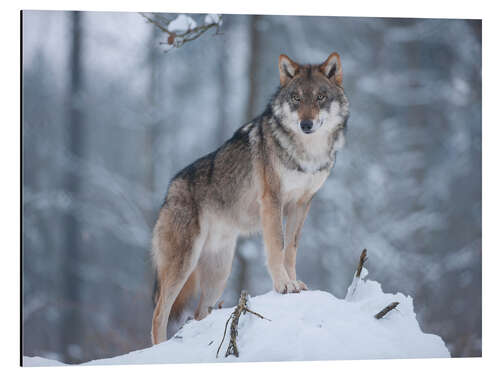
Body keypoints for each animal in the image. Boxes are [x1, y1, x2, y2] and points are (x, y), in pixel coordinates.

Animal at [150, 51, 350, 346]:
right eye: (296, 98)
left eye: (320, 97)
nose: (306, 124)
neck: (307, 154)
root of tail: (169, 190)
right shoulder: (272, 201)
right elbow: (277, 246)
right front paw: (283, 285)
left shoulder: (301, 204)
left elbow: (291, 248)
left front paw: (295, 283)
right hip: (183, 265)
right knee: (158, 313)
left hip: (220, 274)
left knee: (198, 313)